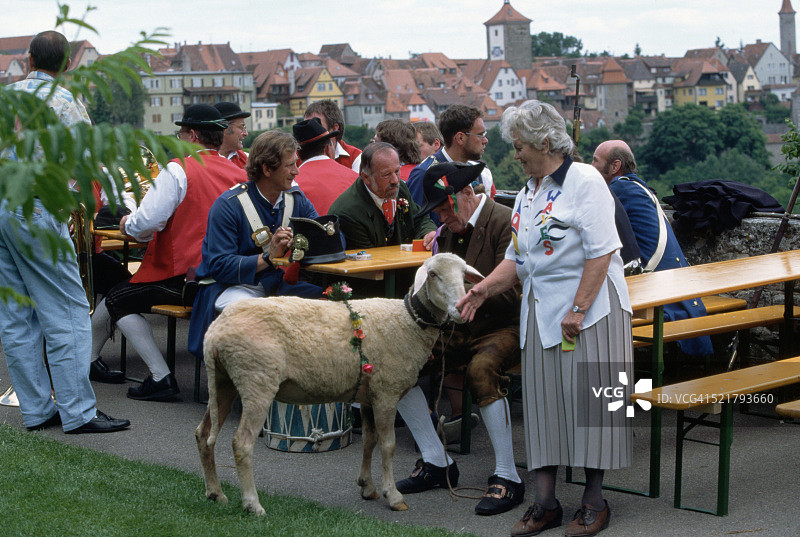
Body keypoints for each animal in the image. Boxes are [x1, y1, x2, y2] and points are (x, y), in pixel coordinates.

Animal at [195, 252, 482, 516]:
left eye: (463, 275)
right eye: (433, 274)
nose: (460, 309)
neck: (407, 321)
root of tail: (214, 333)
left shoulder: (369, 394)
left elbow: (369, 440)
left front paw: (367, 486)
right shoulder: (387, 393)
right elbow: (388, 445)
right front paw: (393, 495)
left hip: (224, 382)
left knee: (203, 434)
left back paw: (215, 493)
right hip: (257, 380)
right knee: (241, 443)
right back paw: (253, 504)